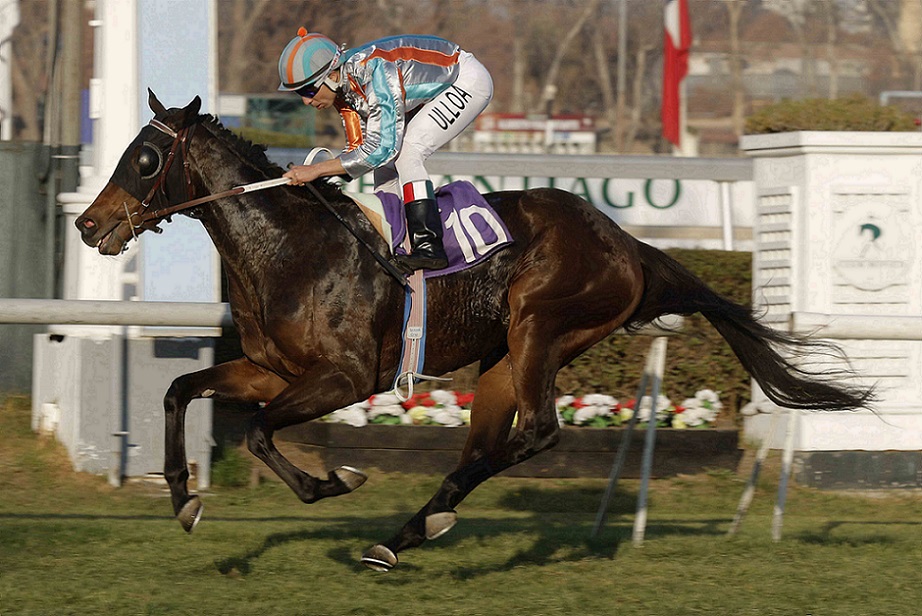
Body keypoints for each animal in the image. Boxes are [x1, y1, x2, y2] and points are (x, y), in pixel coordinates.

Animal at [75, 92, 873, 571]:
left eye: (144, 158)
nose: (88, 224)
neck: (290, 249)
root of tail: (625, 243)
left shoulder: (343, 377)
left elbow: (260, 433)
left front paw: (333, 480)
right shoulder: (272, 370)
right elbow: (180, 390)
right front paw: (183, 499)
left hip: (540, 329)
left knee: (536, 433)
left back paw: (412, 528)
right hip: (500, 361)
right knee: (486, 446)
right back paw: (407, 533)